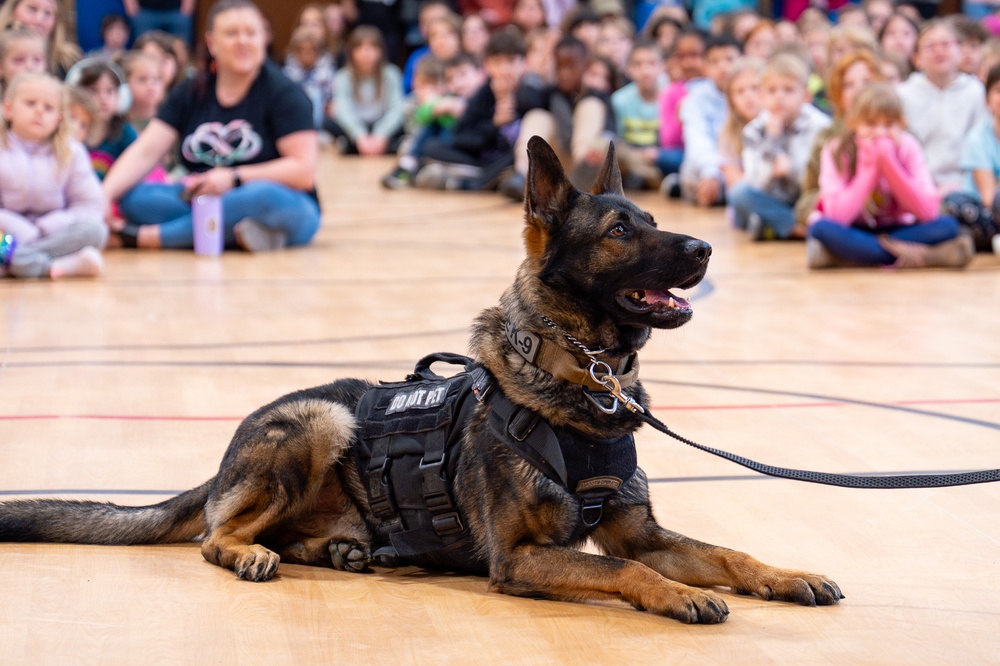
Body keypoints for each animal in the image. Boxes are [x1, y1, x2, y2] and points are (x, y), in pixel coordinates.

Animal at [0, 139, 844, 624]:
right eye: (618, 231)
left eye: (650, 219)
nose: (704, 248)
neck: (580, 384)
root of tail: (221, 463)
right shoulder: (523, 559)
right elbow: (630, 569)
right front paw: (683, 595)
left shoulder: (641, 529)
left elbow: (726, 554)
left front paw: (783, 575)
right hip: (321, 421)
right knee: (216, 535)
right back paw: (252, 554)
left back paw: (347, 550)